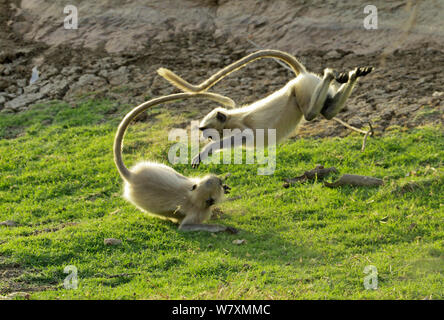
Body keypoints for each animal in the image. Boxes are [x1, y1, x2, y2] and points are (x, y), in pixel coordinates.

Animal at [115, 92, 239, 232]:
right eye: (219, 183)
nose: (221, 182)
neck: (192, 196)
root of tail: (132, 176)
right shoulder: (199, 212)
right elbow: (184, 227)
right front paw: (223, 227)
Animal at [158, 49, 372, 168]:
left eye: (205, 130)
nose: (204, 136)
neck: (230, 118)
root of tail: (301, 76)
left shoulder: (238, 127)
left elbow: (245, 137)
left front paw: (204, 152)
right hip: (310, 88)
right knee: (327, 112)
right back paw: (352, 76)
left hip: (302, 89)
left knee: (311, 114)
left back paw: (328, 75)